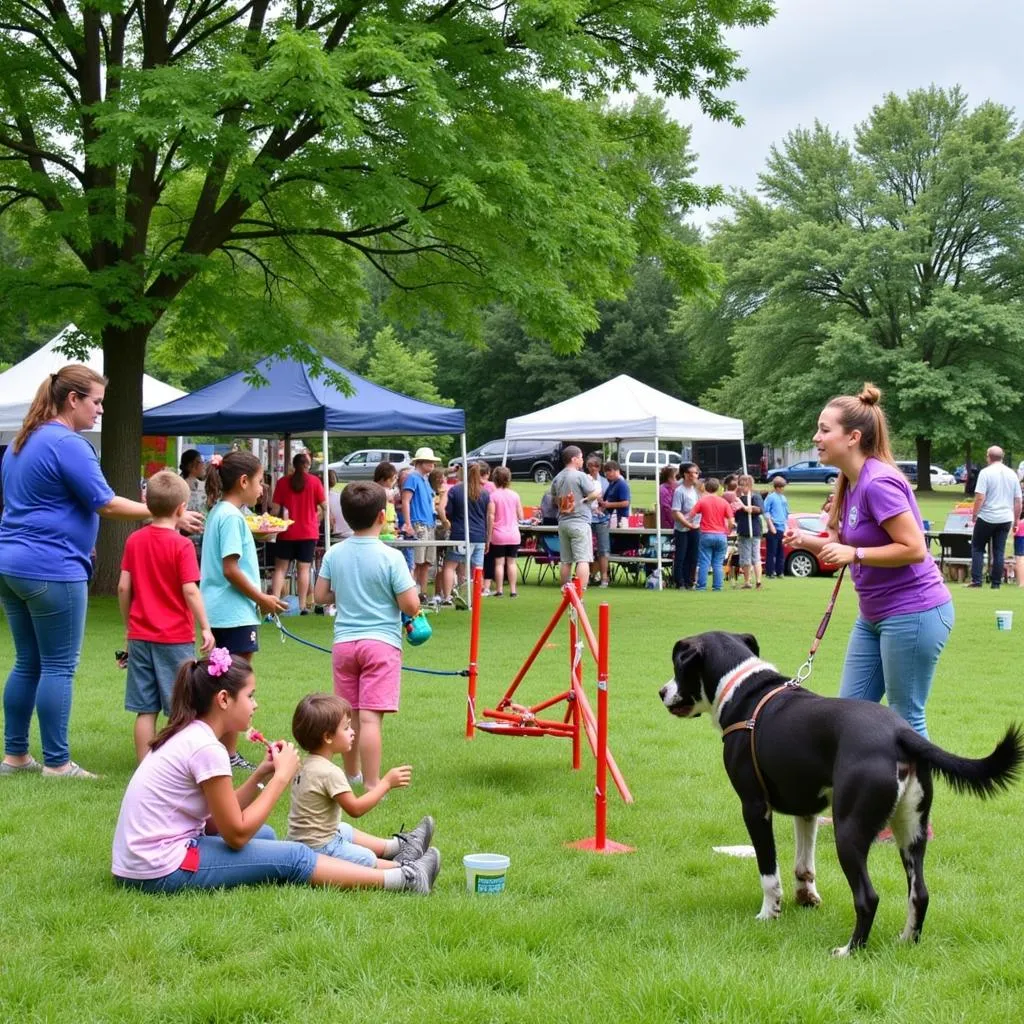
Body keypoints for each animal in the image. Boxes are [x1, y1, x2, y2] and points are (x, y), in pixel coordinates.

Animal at [659, 626, 1019, 954]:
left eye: (677, 664)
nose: (662, 691)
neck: (743, 691)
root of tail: (900, 732)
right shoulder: (807, 810)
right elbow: (804, 865)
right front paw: (805, 898)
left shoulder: (755, 807)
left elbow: (769, 872)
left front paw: (769, 913)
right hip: (911, 832)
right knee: (919, 893)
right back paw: (905, 941)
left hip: (848, 830)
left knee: (868, 897)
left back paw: (850, 950)